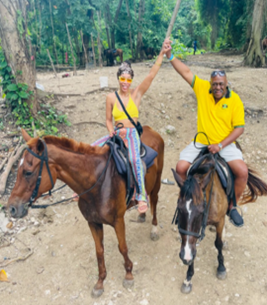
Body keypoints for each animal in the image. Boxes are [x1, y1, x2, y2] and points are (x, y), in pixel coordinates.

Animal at [7, 126, 164, 296]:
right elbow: (99, 251)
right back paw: (141, 213)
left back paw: (154, 229)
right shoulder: (93, 222)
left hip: (156, 185)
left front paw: (128, 274)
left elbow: (122, 247)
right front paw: (100, 282)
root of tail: (151, 130)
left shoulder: (118, 220)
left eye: (28, 172)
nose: (11, 208)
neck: (97, 184)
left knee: (154, 203)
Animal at [172, 153, 267, 294]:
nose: (185, 256)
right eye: (179, 208)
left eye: (201, 211)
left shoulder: (219, 221)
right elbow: (193, 246)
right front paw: (188, 278)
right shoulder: (194, 234)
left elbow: (218, 243)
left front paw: (221, 267)